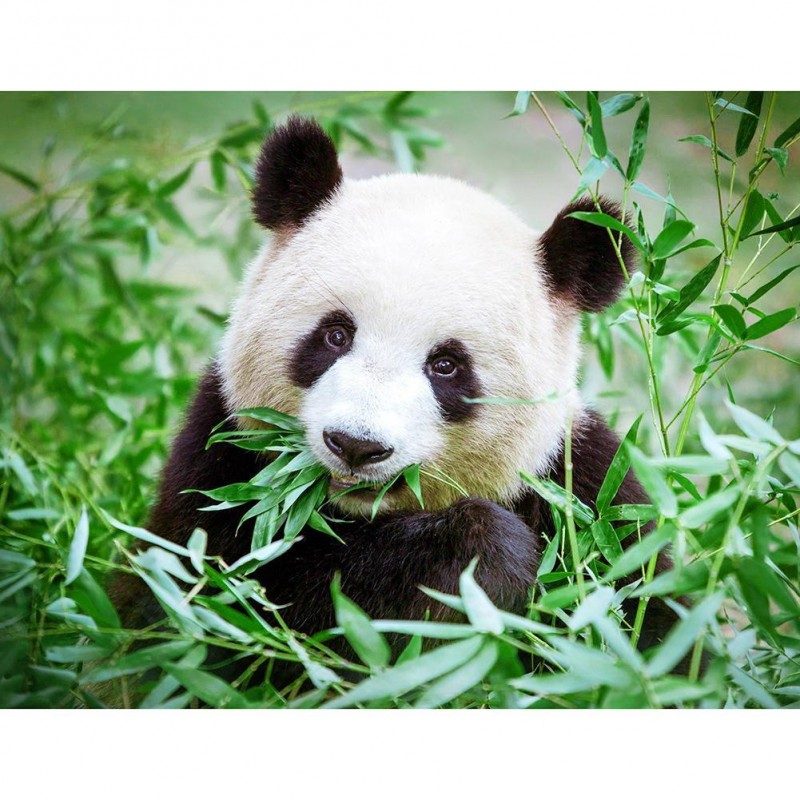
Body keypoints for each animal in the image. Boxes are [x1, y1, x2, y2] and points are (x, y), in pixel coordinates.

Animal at [115, 115, 676, 652]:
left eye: (446, 365)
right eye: (335, 334)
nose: (356, 445)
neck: (359, 513)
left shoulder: (589, 494)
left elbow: (649, 623)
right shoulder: (222, 460)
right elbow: (227, 604)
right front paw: (485, 558)